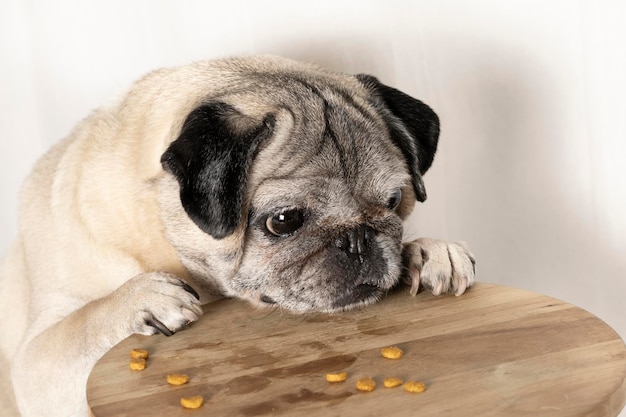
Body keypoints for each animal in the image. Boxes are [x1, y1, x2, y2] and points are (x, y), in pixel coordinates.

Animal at [0, 56, 472, 416]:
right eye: (282, 221)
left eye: (393, 202)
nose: (356, 240)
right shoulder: (38, 362)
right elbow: (82, 321)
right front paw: (140, 297)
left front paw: (429, 251)